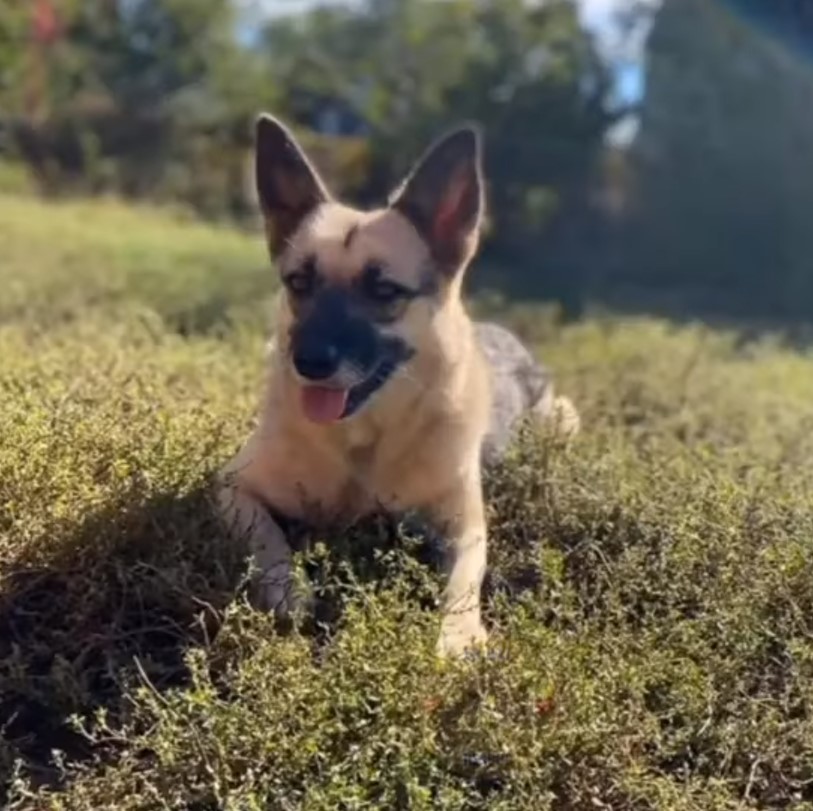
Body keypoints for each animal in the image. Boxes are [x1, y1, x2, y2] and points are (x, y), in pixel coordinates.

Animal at [217, 116, 576, 660]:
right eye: (299, 282)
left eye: (384, 291)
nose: (308, 363)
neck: (363, 441)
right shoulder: (233, 489)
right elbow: (267, 540)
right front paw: (288, 589)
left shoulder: (466, 528)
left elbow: (464, 583)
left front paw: (457, 637)